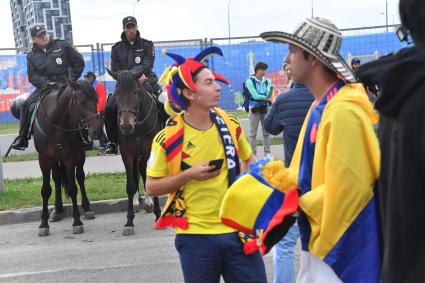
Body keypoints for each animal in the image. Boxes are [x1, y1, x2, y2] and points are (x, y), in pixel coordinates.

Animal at [33, 80, 102, 237]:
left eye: (96, 100)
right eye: (82, 102)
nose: (97, 131)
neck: (55, 124)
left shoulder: (70, 158)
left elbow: (72, 188)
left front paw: (77, 221)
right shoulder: (44, 160)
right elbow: (45, 190)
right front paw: (43, 224)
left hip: (79, 155)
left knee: (80, 177)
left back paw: (87, 208)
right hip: (54, 161)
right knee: (57, 178)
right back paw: (57, 210)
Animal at [106, 69, 162, 237]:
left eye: (135, 92)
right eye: (117, 92)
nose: (125, 126)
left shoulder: (147, 150)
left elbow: (148, 177)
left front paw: (157, 214)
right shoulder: (127, 153)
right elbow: (130, 184)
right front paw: (129, 222)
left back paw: (149, 204)